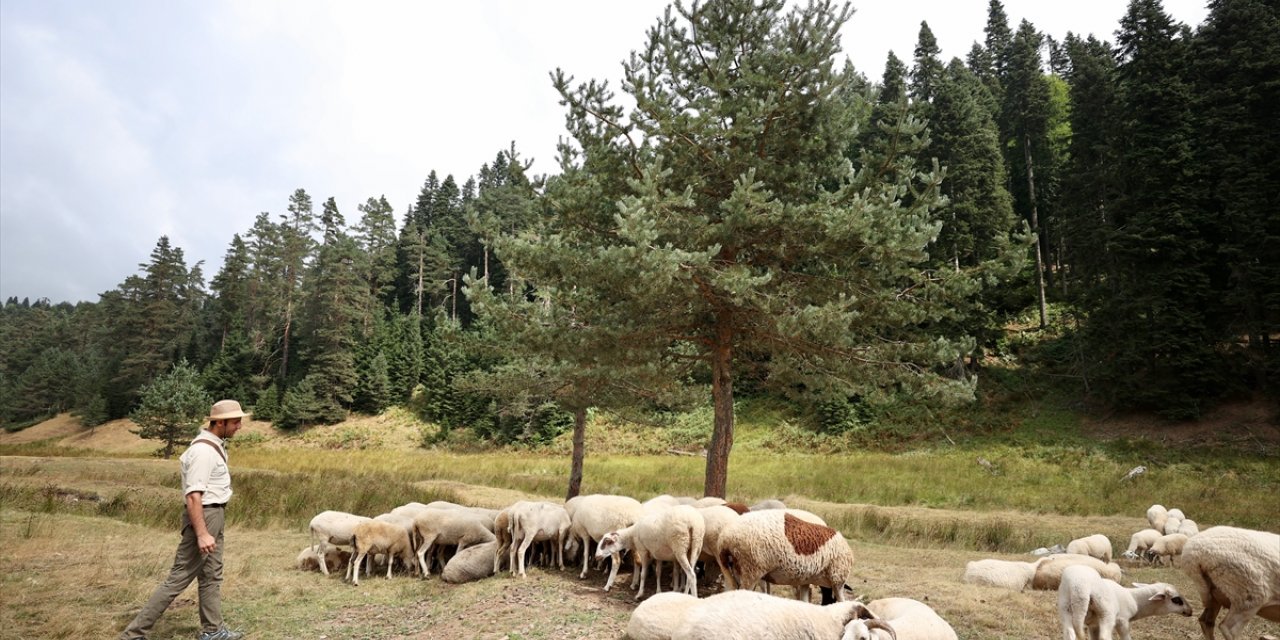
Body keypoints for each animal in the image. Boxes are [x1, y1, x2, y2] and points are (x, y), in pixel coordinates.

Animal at [1054, 563, 1192, 637]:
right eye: (1176, 600)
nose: (1190, 611)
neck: (1134, 598)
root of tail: (1077, 586)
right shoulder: (1122, 621)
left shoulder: (1094, 624)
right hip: (1106, 613)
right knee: (1105, 636)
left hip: (1065, 609)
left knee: (1069, 633)